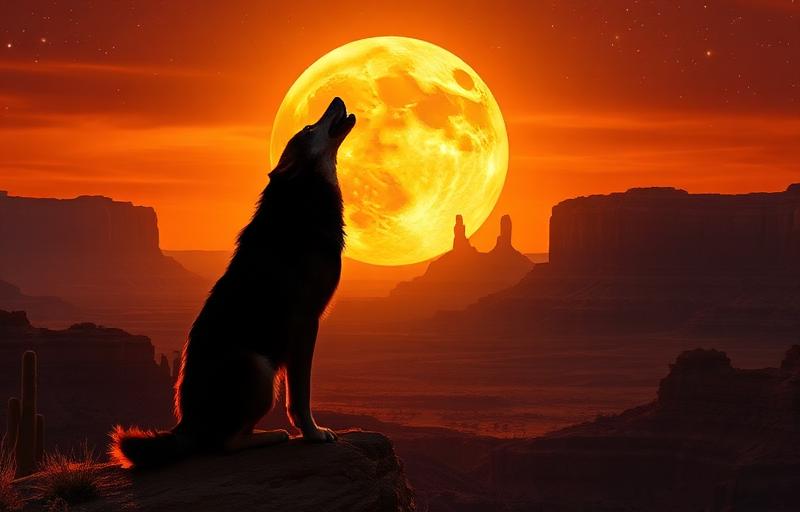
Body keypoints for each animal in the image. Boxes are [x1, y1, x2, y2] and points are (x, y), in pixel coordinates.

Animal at [110, 97, 356, 468]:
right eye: (309, 128)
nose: (337, 99)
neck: (304, 204)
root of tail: (187, 425)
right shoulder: (305, 322)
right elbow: (300, 396)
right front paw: (313, 434)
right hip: (259, 367)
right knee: (224, 443)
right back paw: (270, 435)